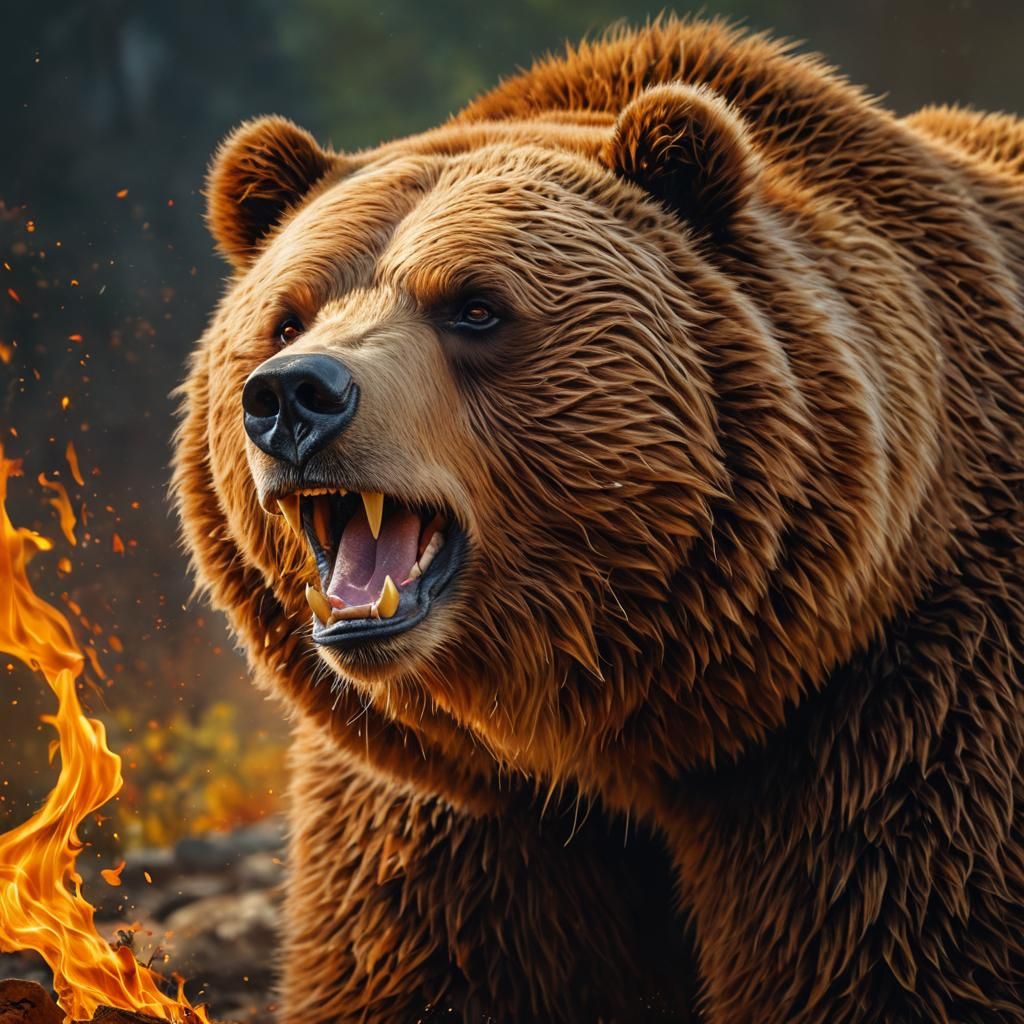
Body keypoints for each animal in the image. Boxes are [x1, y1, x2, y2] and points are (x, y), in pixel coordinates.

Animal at [172, 16, 1024, 1024]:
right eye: (287, 315)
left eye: (473, 306)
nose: (294, 397)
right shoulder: (455, 808)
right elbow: (430, 967)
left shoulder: (904, 704)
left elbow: (895, 947)